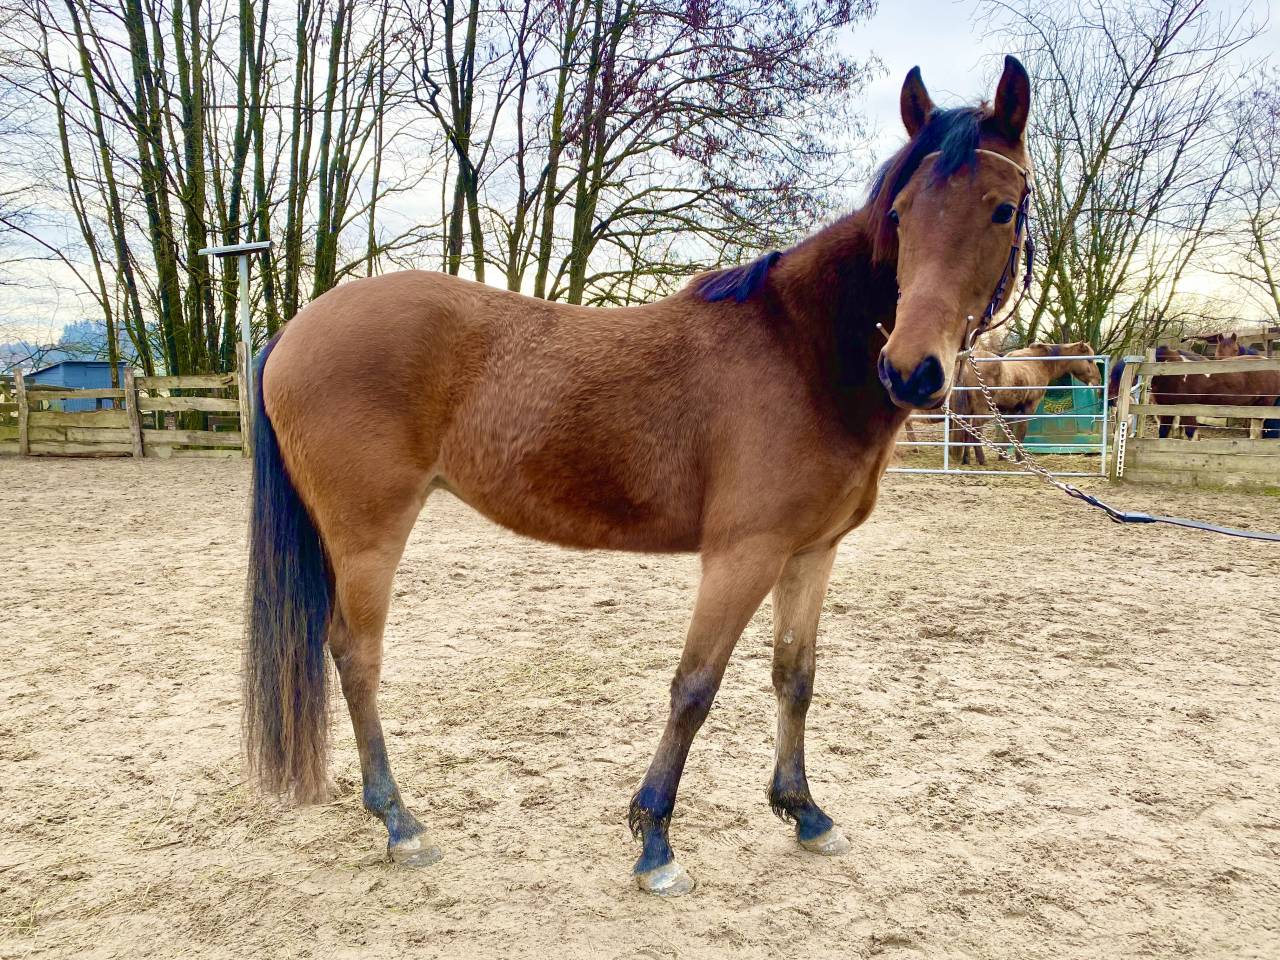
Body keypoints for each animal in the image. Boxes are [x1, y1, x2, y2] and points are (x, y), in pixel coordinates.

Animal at [243, 57, 1035, 897]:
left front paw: (805, 812)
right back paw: (401, 823)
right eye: (902, 213)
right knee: (356, 657)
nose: (912, 369)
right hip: (368, 534)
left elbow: (795, 676)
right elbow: (695, 687)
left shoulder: (810, 553)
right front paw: (654, 841)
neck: (801, 350)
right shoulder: (743, 554)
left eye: (1002, 209)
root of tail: (292, 330)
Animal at [949, 341, 1099, 465]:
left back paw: (966, 459)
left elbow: (1008, 432)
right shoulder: (1029, 408)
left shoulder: (1010, 410)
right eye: (1089, 360)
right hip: (981, 410)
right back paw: (981, 460)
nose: (1098, 382)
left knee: (967, 429)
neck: (1039, 363)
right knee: (976, 428)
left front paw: (1003, 456)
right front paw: (1020, 457)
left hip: (968, 411)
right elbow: (1020, 432)